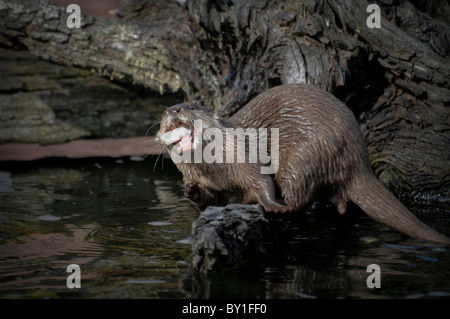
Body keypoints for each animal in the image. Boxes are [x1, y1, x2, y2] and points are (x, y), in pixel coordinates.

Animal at [158, 84, 450, 244]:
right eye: (164, 112)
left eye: (192, 105)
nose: (173, 109)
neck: (218, 171)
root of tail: (359, 160)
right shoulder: (210, 183)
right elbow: (210, 202)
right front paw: (192, 191)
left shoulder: (245, 158)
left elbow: (262, 183)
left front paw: (272, 206)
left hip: (304, 156)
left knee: (298, 195)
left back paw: (272, 204)